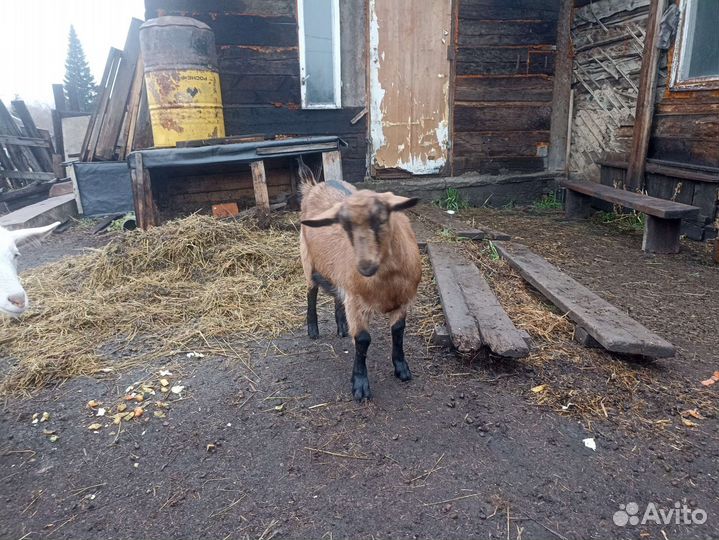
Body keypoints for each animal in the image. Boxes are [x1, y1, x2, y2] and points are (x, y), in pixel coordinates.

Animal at [300, 179, 421, 401]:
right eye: (345, 226)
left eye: (381, 219)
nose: (365, 266)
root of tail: (316, 184)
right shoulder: (356, 302)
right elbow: (363, 340)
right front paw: (360, 385)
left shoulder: (404, 299)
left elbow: (398, 331)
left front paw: (402, 369)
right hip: (307, 260)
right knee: (311, 292)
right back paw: (313, 329)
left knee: (337, 294)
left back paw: (342, 327)